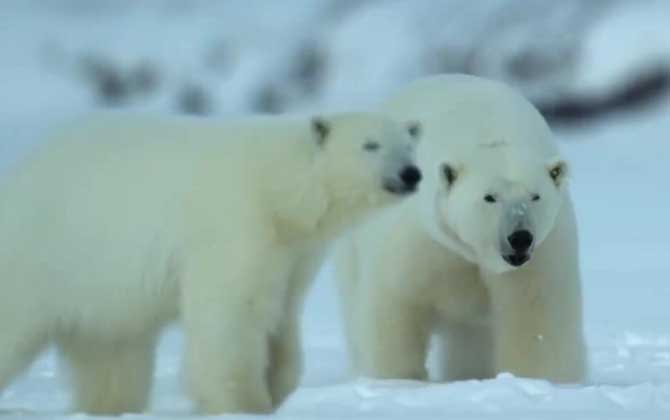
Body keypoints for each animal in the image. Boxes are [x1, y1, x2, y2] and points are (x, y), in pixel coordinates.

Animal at [0, 110, 422, 414]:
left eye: (409, 145)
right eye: (370, 144)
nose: (411, 174)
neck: (277, 188)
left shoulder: (294, 255)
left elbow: (282, 315)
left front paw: (279, 388)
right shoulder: (237, 225)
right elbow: (233, 315)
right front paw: (245, 403)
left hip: (99, 291)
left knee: (113, 356)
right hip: (41, 257)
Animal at [336, 74, 588, 384]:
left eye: (535, 196)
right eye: (490, 197)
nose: (519, 238)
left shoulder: (542, 254)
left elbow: (536, 316)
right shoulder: (423, 238)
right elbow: (396, 304)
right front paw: (401, 380)